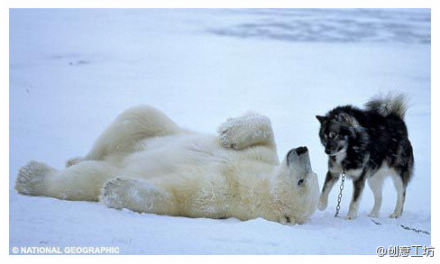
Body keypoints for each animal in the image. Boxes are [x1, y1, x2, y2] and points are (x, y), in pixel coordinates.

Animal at [15, 105, 320, 225]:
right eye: (311, 174)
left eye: (303, 180)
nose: (302, 149)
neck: (254, 183)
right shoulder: (261, 158)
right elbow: (266, 130)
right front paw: (229, 132)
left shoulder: (221, 194)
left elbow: (176, 195)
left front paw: (115, 189)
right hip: (147, 129)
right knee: (135, 117)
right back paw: (75, 157)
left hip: (108, 166)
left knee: (82, 179)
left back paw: (30, 176)